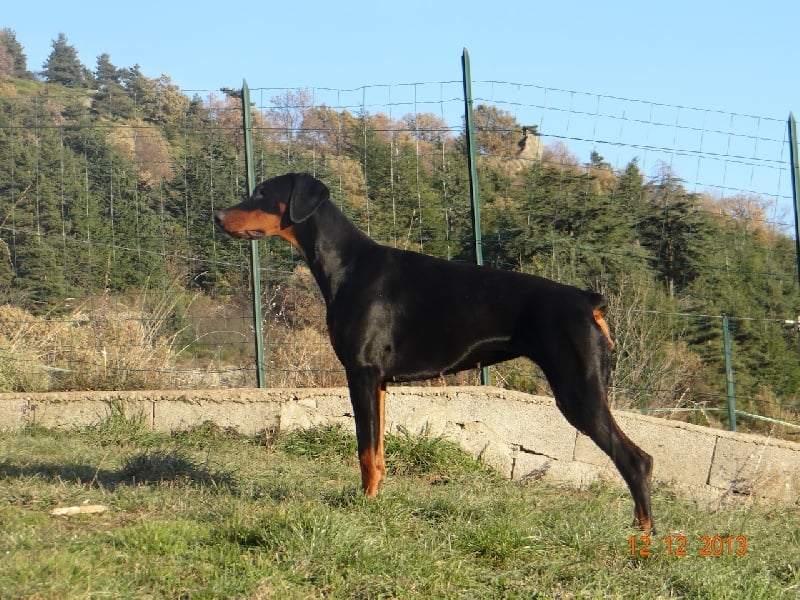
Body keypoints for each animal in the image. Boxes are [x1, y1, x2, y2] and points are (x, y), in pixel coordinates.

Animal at [214, 173, 654, 532]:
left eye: (262, 192)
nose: (217, 216)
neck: (347, 265)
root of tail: (589, 301)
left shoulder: (361, 373)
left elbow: (364, 451)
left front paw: (363, 505)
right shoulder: (379, 383)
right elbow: (377, 452)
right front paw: (375, 499)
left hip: (579, 393)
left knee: (636, 460)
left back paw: (644, 536)